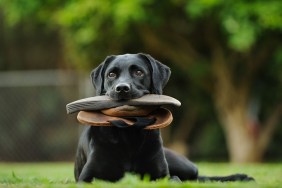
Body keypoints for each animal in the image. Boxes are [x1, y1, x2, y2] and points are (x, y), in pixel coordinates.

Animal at [74, 53, 254, 183]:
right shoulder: (87, 178)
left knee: (198, 177)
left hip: (181, 165)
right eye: (111, 74)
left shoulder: (161, 175)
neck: (129, 133)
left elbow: (174, 179)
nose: (122, 88)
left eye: (139, 72)